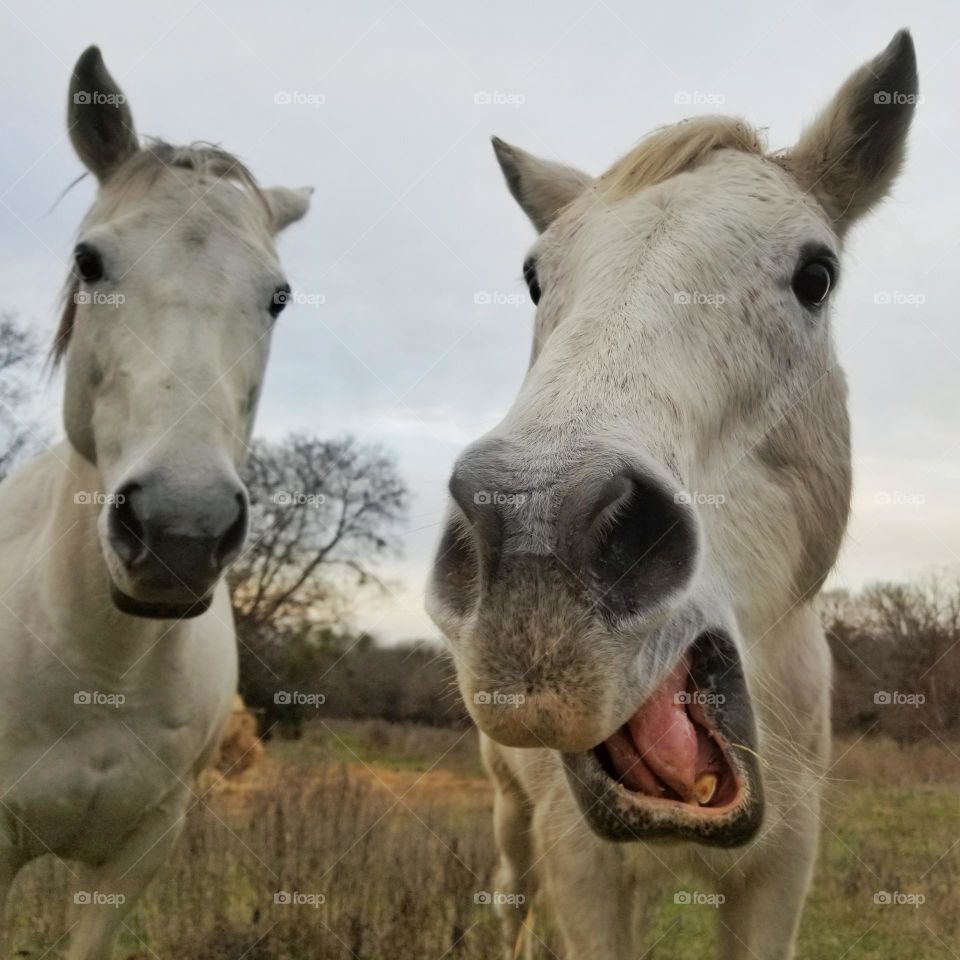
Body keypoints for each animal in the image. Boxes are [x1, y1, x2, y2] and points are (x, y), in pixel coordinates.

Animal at [432, 30, 920, 960]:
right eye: (536, 279)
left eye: (816, 275)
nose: (536, 528)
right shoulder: (580, 863)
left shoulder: (780, 872)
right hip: (512, 814)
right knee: (513, 901)